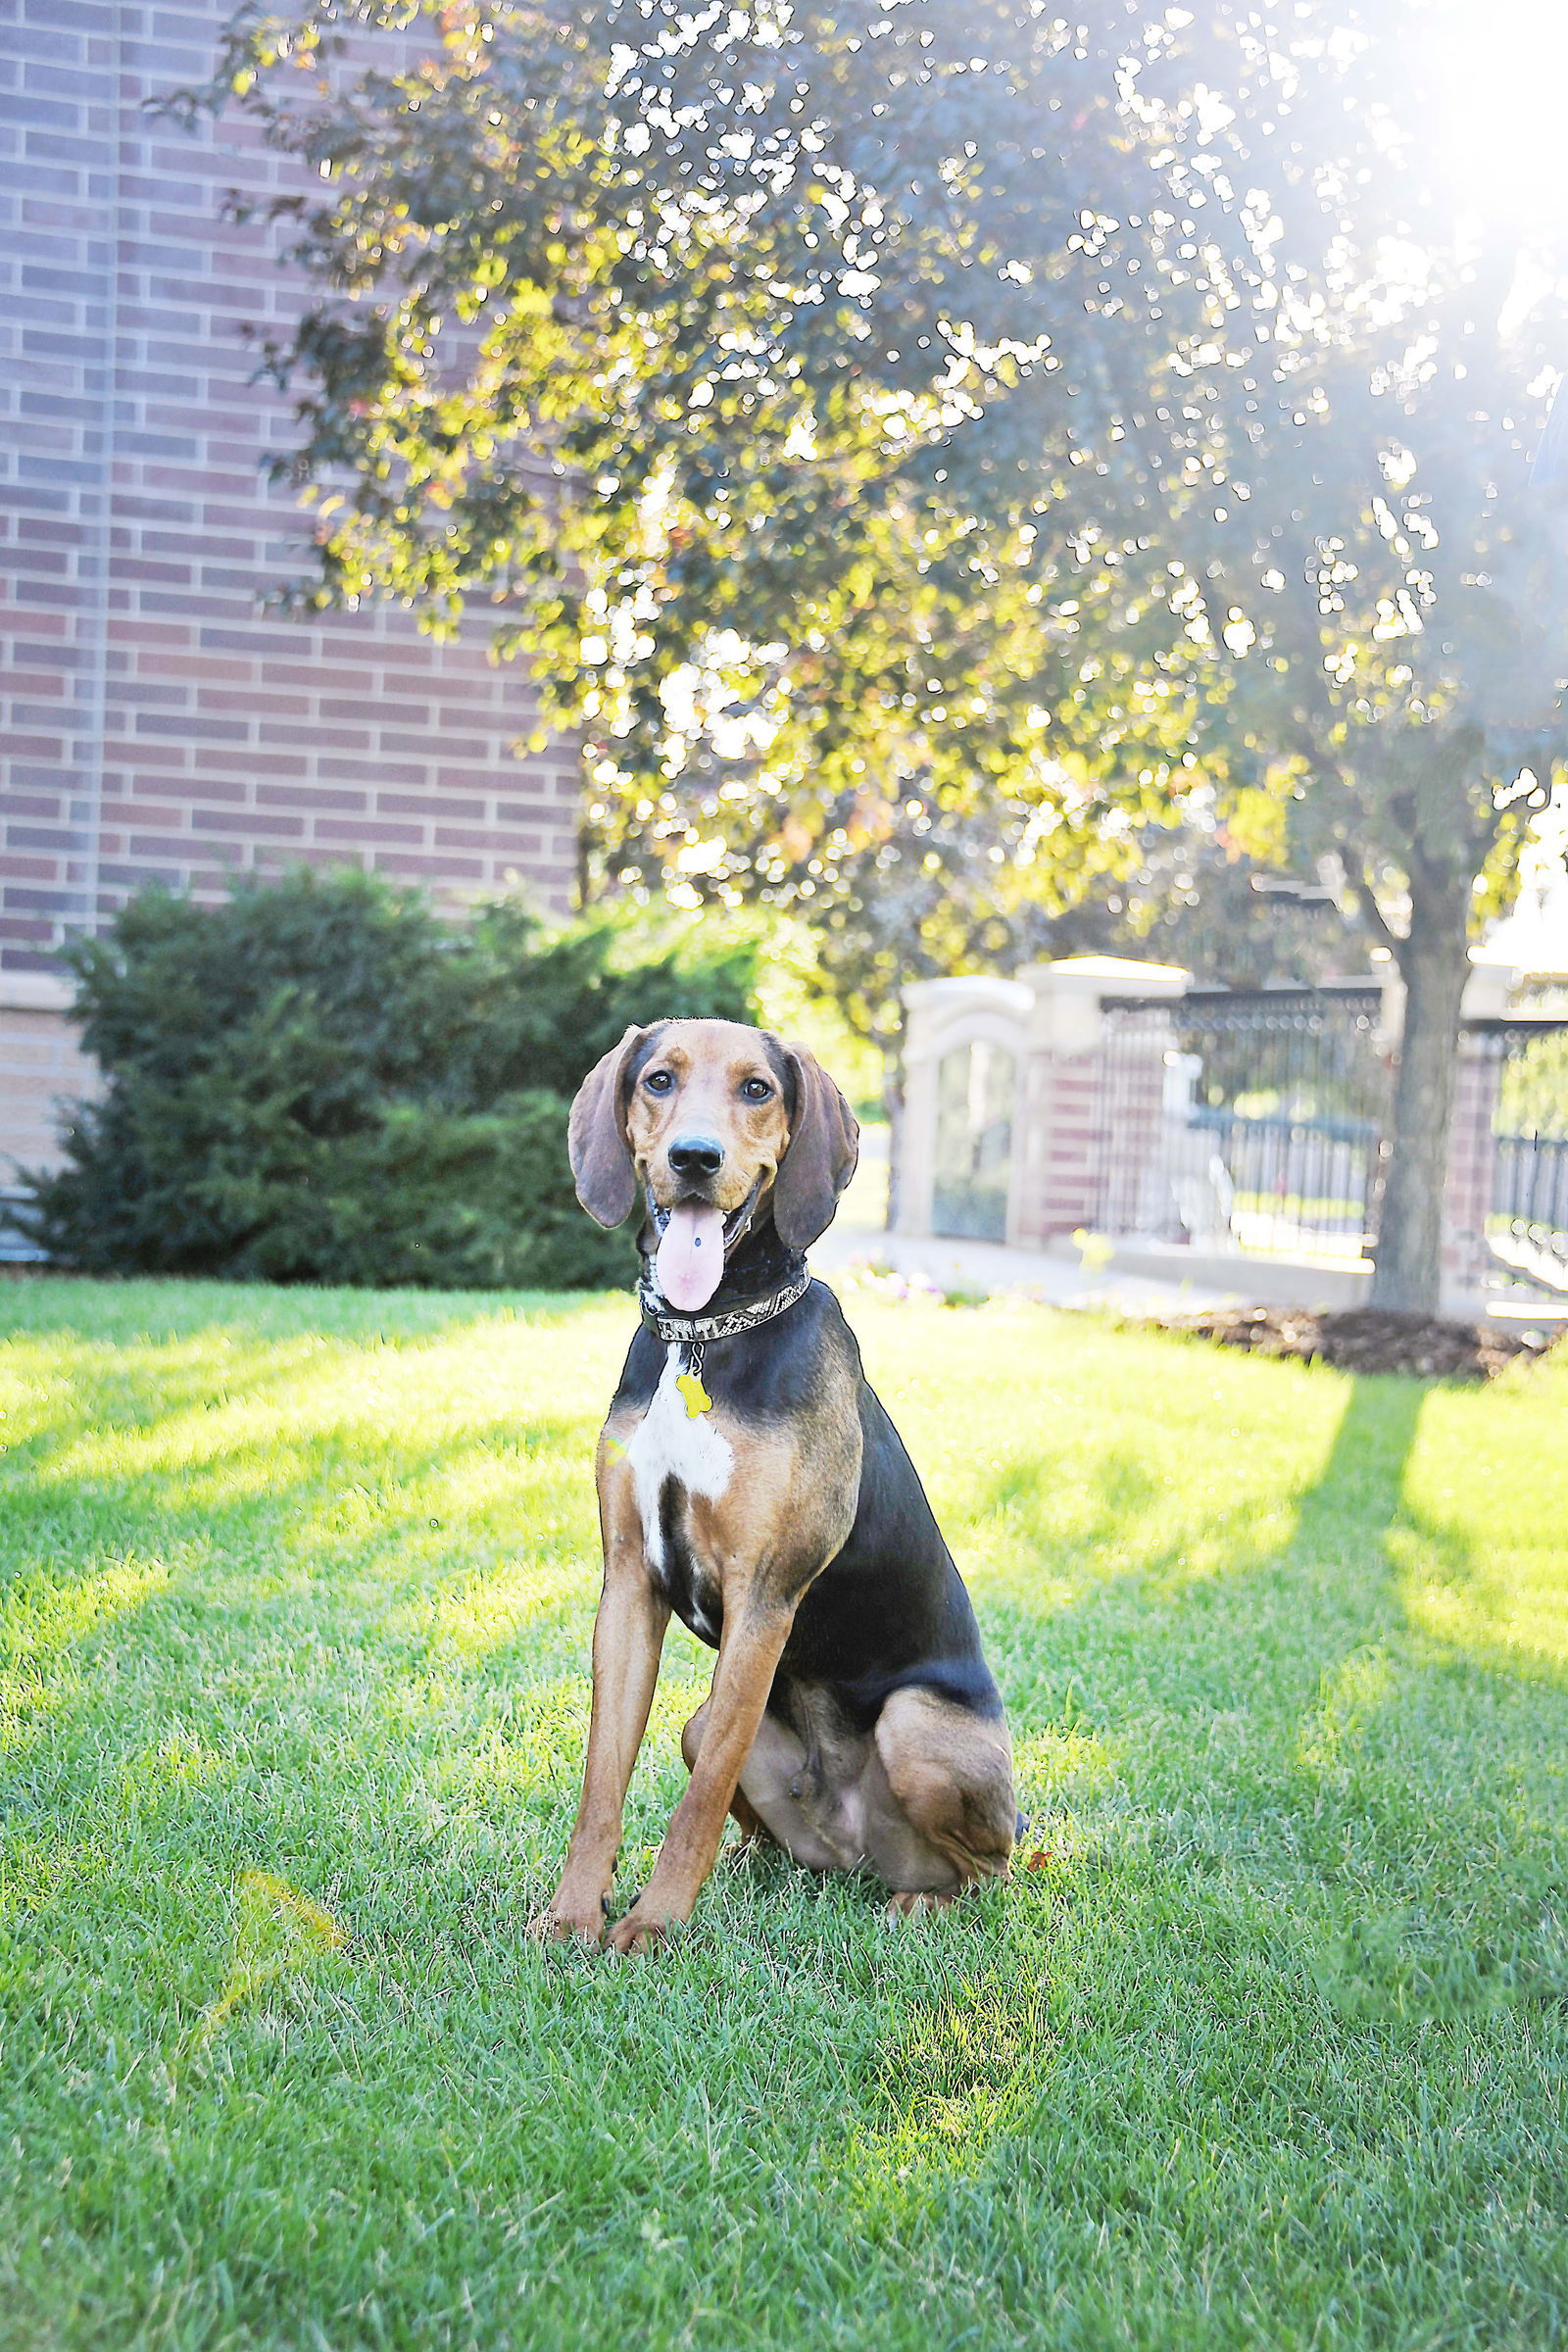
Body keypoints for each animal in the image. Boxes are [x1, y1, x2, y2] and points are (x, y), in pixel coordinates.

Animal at [533, 1020, 1024, 1956]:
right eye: (658, 1080)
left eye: (757, 1089)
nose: (694, 1157)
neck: (704, 1336)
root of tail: (861, 1847)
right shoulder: (628, 1583)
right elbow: (602, 1782)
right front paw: (575, 1912)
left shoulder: (765, 1593)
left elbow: (696, 1805)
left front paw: (653, 1925)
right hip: (718, 1738)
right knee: (778, 1834)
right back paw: (758, 1868)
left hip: (919, 1727)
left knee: (989, 1871)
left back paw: (925, 1903)